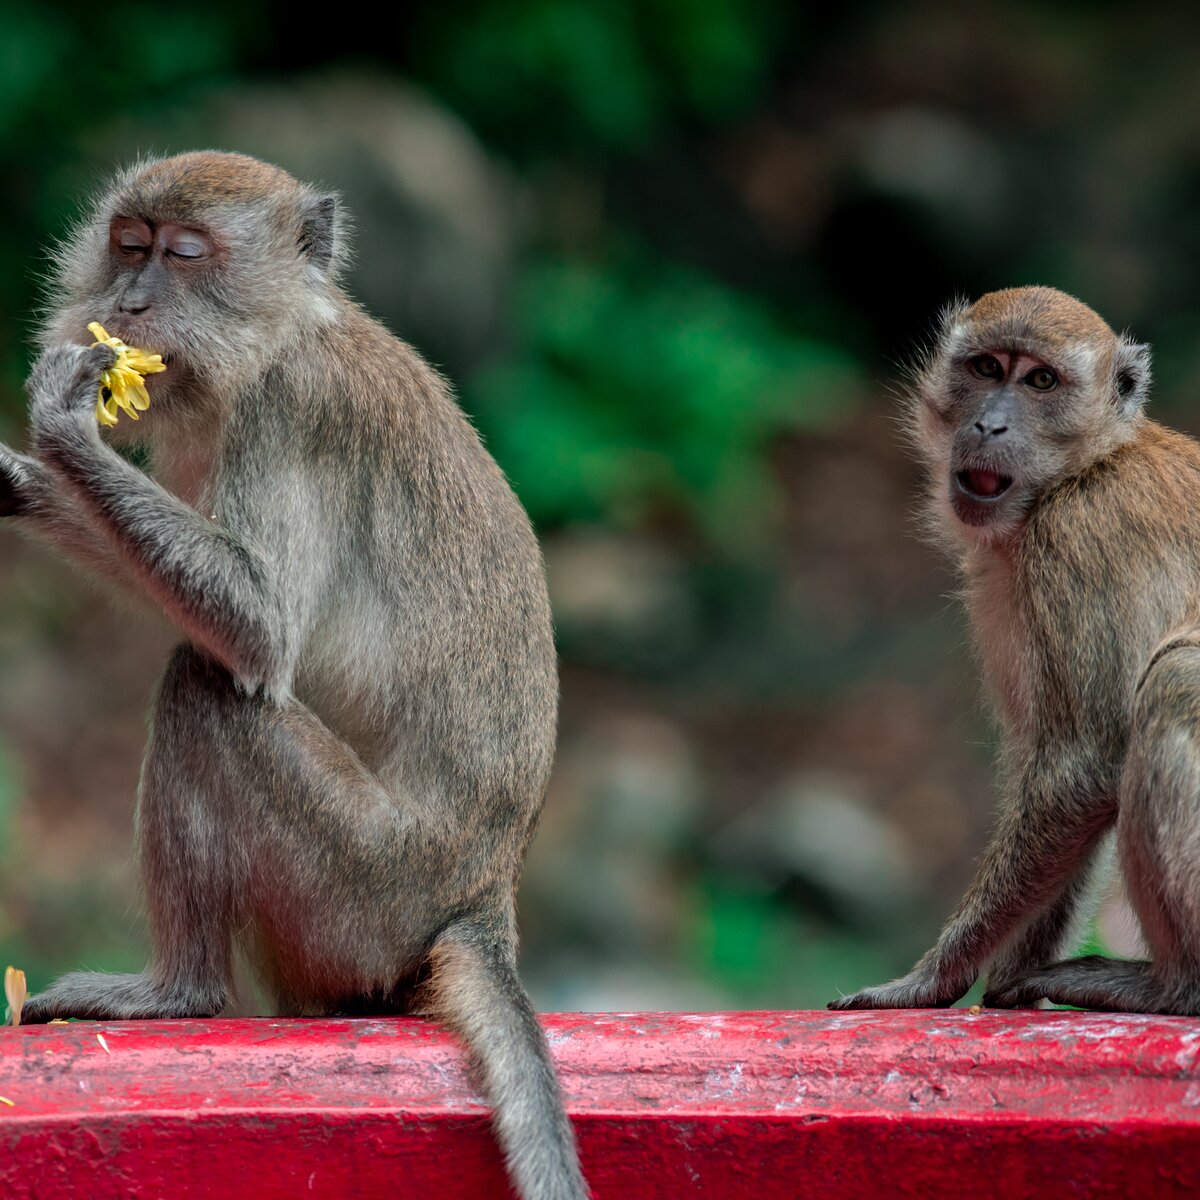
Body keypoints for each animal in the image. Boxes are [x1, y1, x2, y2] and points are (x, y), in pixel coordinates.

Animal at [0, 154, 588, 1200]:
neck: (276, 337)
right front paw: (14, 479)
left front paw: (63, 422)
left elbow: (256, 631)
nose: (129, 302)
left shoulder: (293, 412)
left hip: (360, 887)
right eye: (129, 244)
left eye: (185, 255)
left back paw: (179, 995)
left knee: (203, 691)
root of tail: (482, 898)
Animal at [830, 285, 1200, 1017]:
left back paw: (1175, 985)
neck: (1085, 467)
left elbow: (1080, 766)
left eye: (1041, 382)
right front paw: (1005, 977)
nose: (989, 426)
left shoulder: (1070, 543)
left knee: (1175, 679)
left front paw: (931, 979)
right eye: (986, 369)